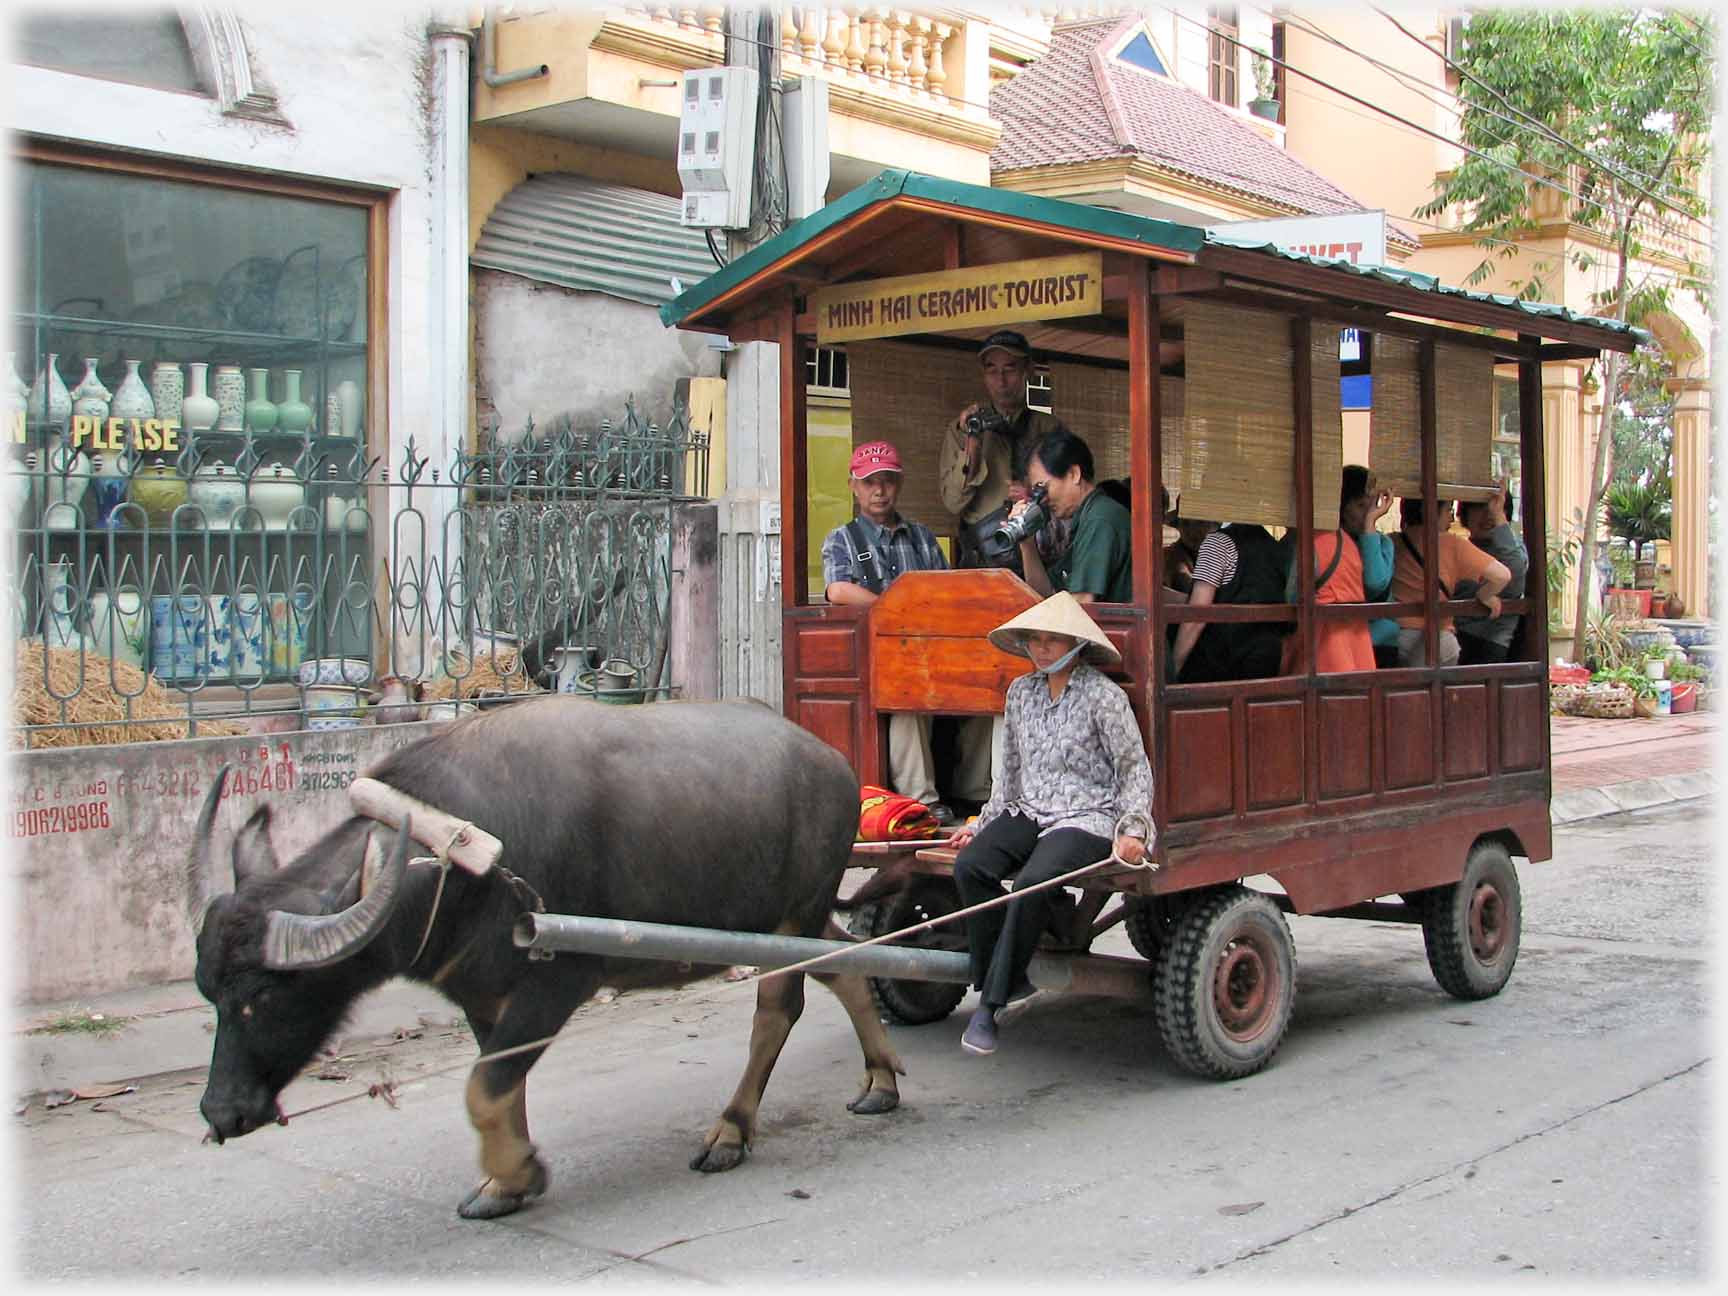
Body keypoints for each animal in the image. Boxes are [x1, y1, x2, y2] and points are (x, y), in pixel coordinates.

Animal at [189, 701, 905, 1216]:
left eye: (265, 995)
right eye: (210, 993)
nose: (222, 1113)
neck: (456, 858)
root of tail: (835, 765)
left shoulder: (557, 983)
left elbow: (483, 1088)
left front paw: (520, 1171)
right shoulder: (484, 994)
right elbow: (500, 1081)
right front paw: (507, 1184)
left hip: (794, 914)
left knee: (778, 1008)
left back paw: (730, 1132)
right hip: (795, 918)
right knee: (848, 964)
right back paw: (880, 1081)